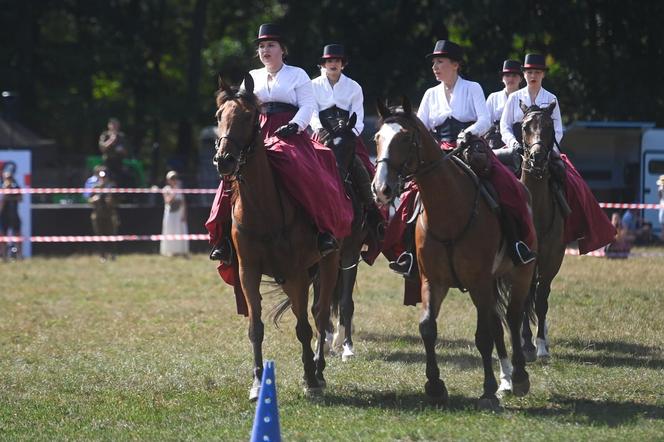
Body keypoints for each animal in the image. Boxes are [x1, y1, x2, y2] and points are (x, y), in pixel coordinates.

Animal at [213, 73, 340, 400]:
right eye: (219, 116)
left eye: (248, 116)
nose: (224, 160)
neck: (263, 208)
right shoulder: (247, 271)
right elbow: (255, 327)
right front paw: (258, 382)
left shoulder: (296, 273)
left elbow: (304, 327)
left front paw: (310, 379)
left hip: (328, 263)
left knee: (320, 315)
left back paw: (319, 371)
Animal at [370, 98, 536, 410]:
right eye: (377, 138)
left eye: (405, 138)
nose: (381, 188)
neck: (449, 209)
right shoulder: (433, 281)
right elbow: (427, 328)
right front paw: (435, 386)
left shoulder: (479, 281)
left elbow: (483, 336)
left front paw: (487, 391)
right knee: (498, 322)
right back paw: (506, 381)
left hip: (520, 272)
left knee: (512, 316)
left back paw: (518, 377)